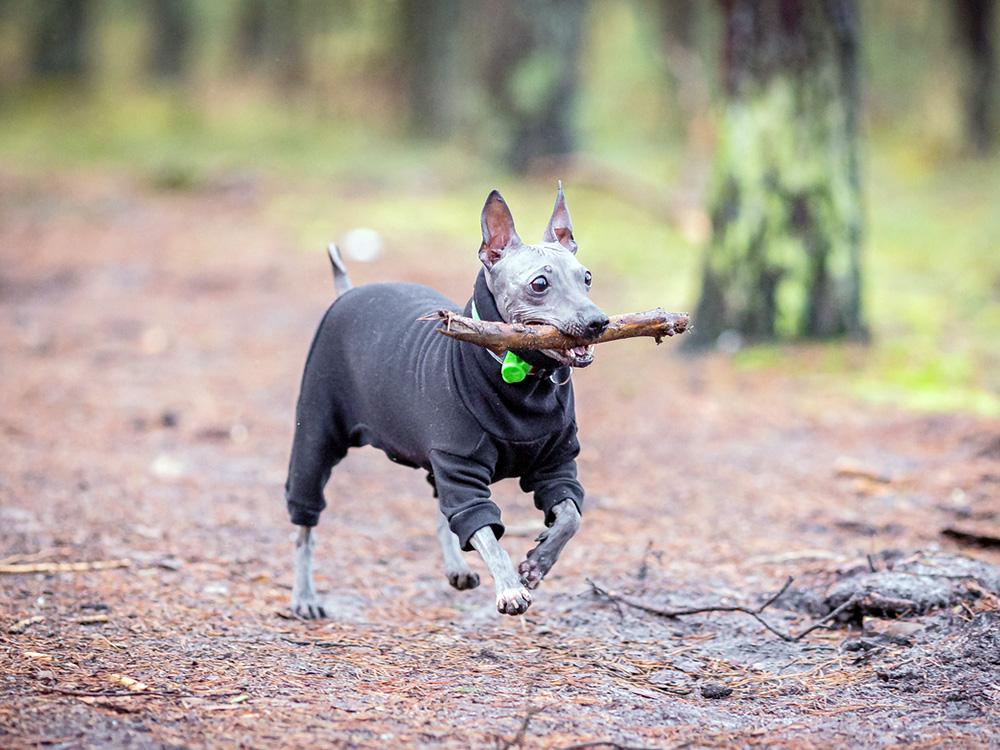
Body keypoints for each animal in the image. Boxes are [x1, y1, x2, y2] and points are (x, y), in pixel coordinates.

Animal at [286, 187, 604, 616]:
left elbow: (570, 517)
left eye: (586, 278)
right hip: (317, 434)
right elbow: (485, 532)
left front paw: (538, 562)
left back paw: (457, 568)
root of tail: (348, 291)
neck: (520, 378)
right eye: (539, 284)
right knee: (305, 525)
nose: (599, 322)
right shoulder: (461, 468)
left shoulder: (556, 464)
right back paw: (304, 595)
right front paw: (509, 586)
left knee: (442, 512)